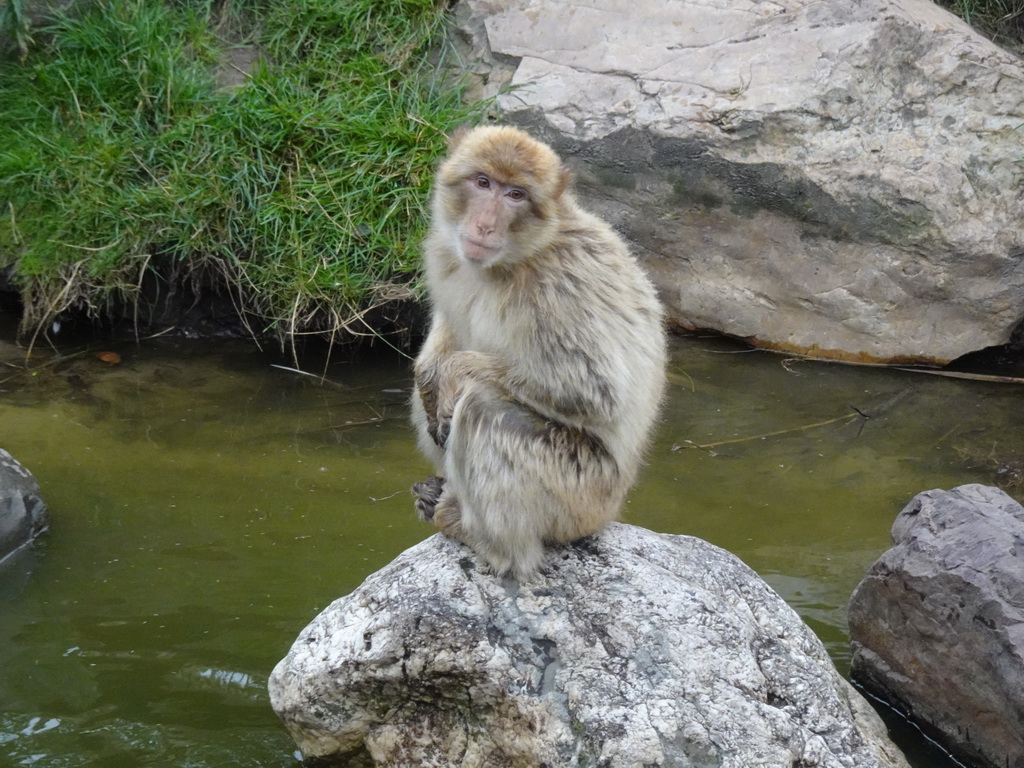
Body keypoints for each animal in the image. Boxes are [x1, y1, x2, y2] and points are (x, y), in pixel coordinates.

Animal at [411, 126, 667, 581]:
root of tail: (613, 507)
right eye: (483, 183)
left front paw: (454, 373)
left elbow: (594, 392)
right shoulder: (445, 253)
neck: (513, 260)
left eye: (515, 195)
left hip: (579, 494)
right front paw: (429, 375)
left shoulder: (561, 285)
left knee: (484, 409)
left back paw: (486, 540)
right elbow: (444, 337)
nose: (485, 223)